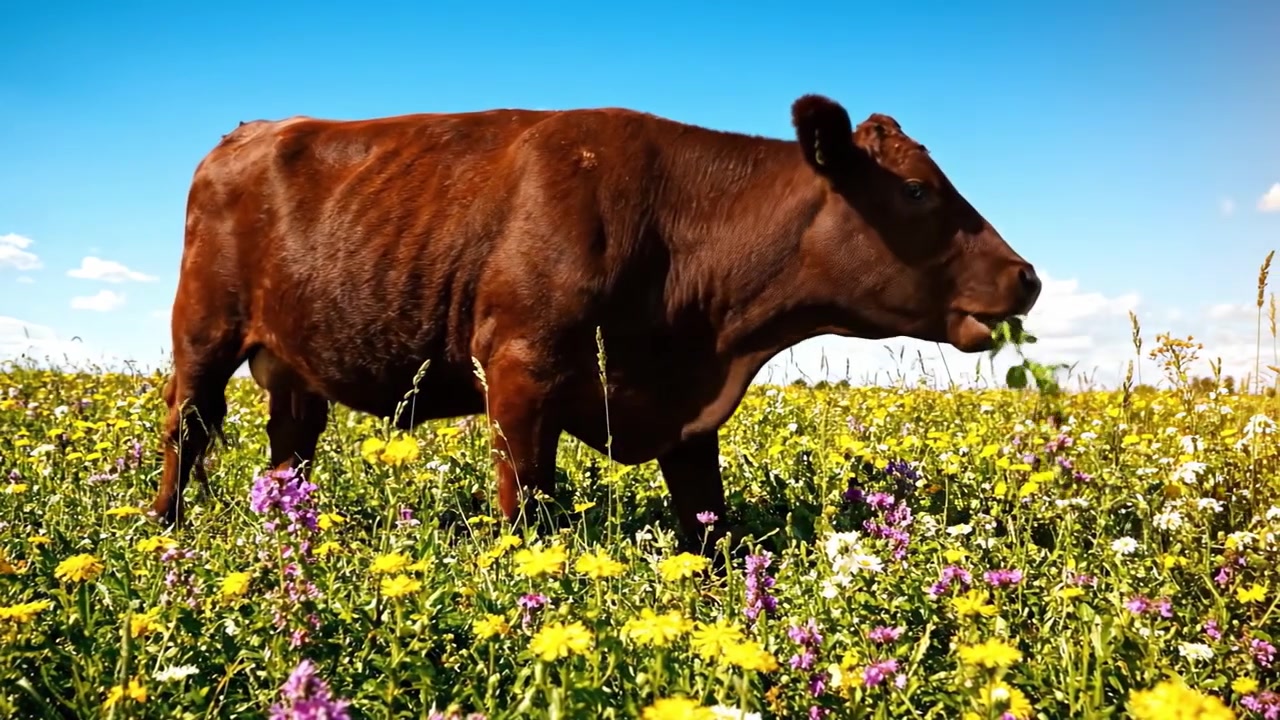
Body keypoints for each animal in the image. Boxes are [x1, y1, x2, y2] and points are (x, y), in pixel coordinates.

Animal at [152, 94, 1041, 553]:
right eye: (919, 190)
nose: (1028, 277)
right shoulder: (518, 369)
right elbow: (525, 508)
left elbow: (706, 519)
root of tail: (250, 130)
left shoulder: (687, 408)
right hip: (202, 331)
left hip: (295, 369)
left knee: (288, 457)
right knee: (186, 430)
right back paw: (163, 533)